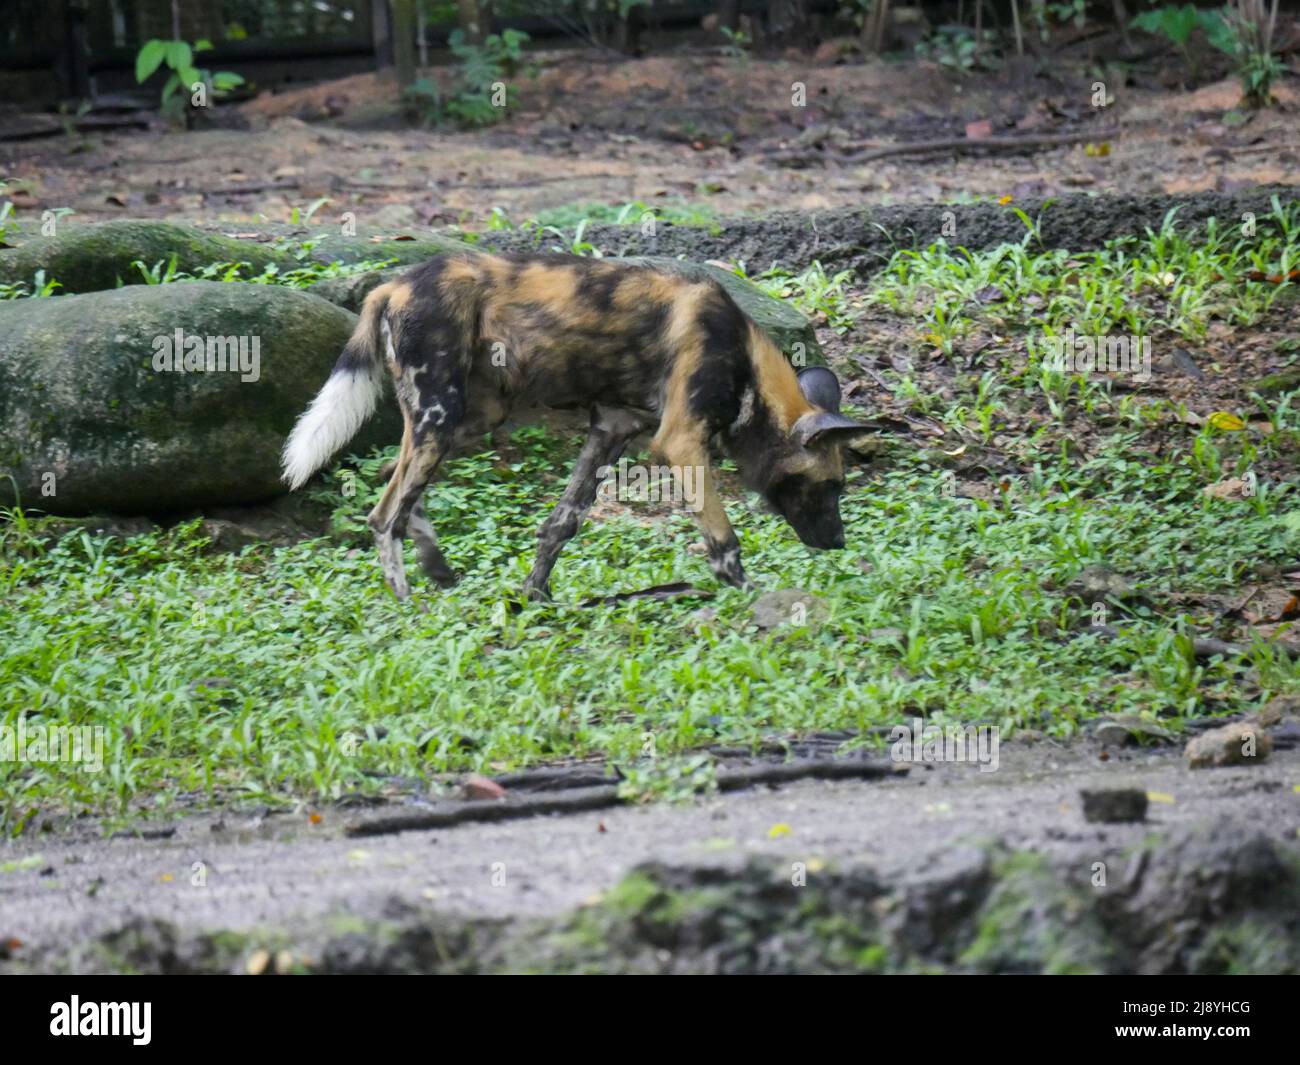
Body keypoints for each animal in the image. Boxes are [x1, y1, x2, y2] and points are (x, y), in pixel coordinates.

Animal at [284, 249, 873, 600]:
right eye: (830, 487)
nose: (839, 542)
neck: (746, 365)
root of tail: (392, 287)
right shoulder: (681, 444)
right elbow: (725, 542)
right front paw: (748, 597)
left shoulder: (612, 428)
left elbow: (561, 524)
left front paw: (535, 595)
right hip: (441, 415)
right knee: (385, 515)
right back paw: (409, 604)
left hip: (461, 422)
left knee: (399, 487)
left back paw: (438, 572)